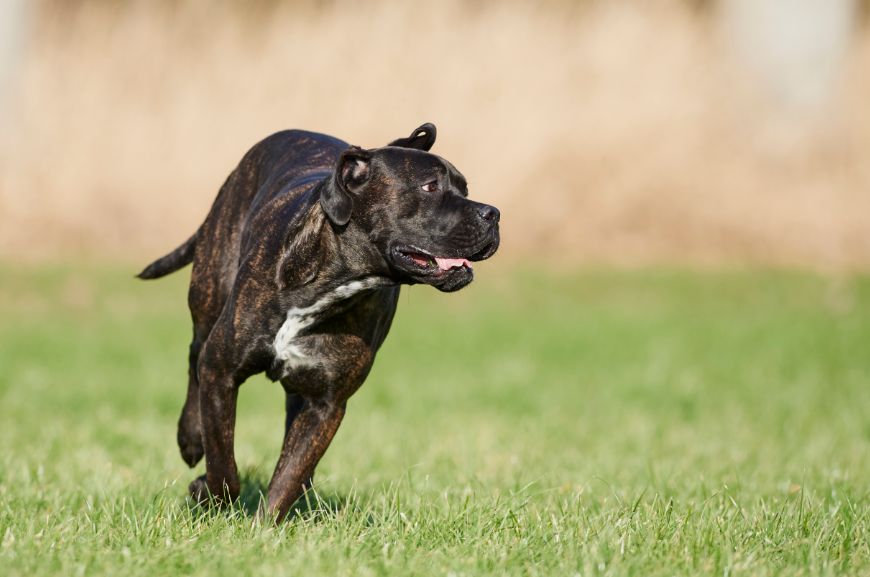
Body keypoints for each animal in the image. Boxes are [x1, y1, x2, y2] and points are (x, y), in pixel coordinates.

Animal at [140, 124, 500, 520]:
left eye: (465, 189)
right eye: (430, 186)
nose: (493, 213)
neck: (333, 280)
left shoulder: (325, 404)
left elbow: (289, 474)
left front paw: (264, 526)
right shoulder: (222, 370)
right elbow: (224, 462)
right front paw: (209, 492)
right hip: (209, 293)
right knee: (194, 354)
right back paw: (190, 438)